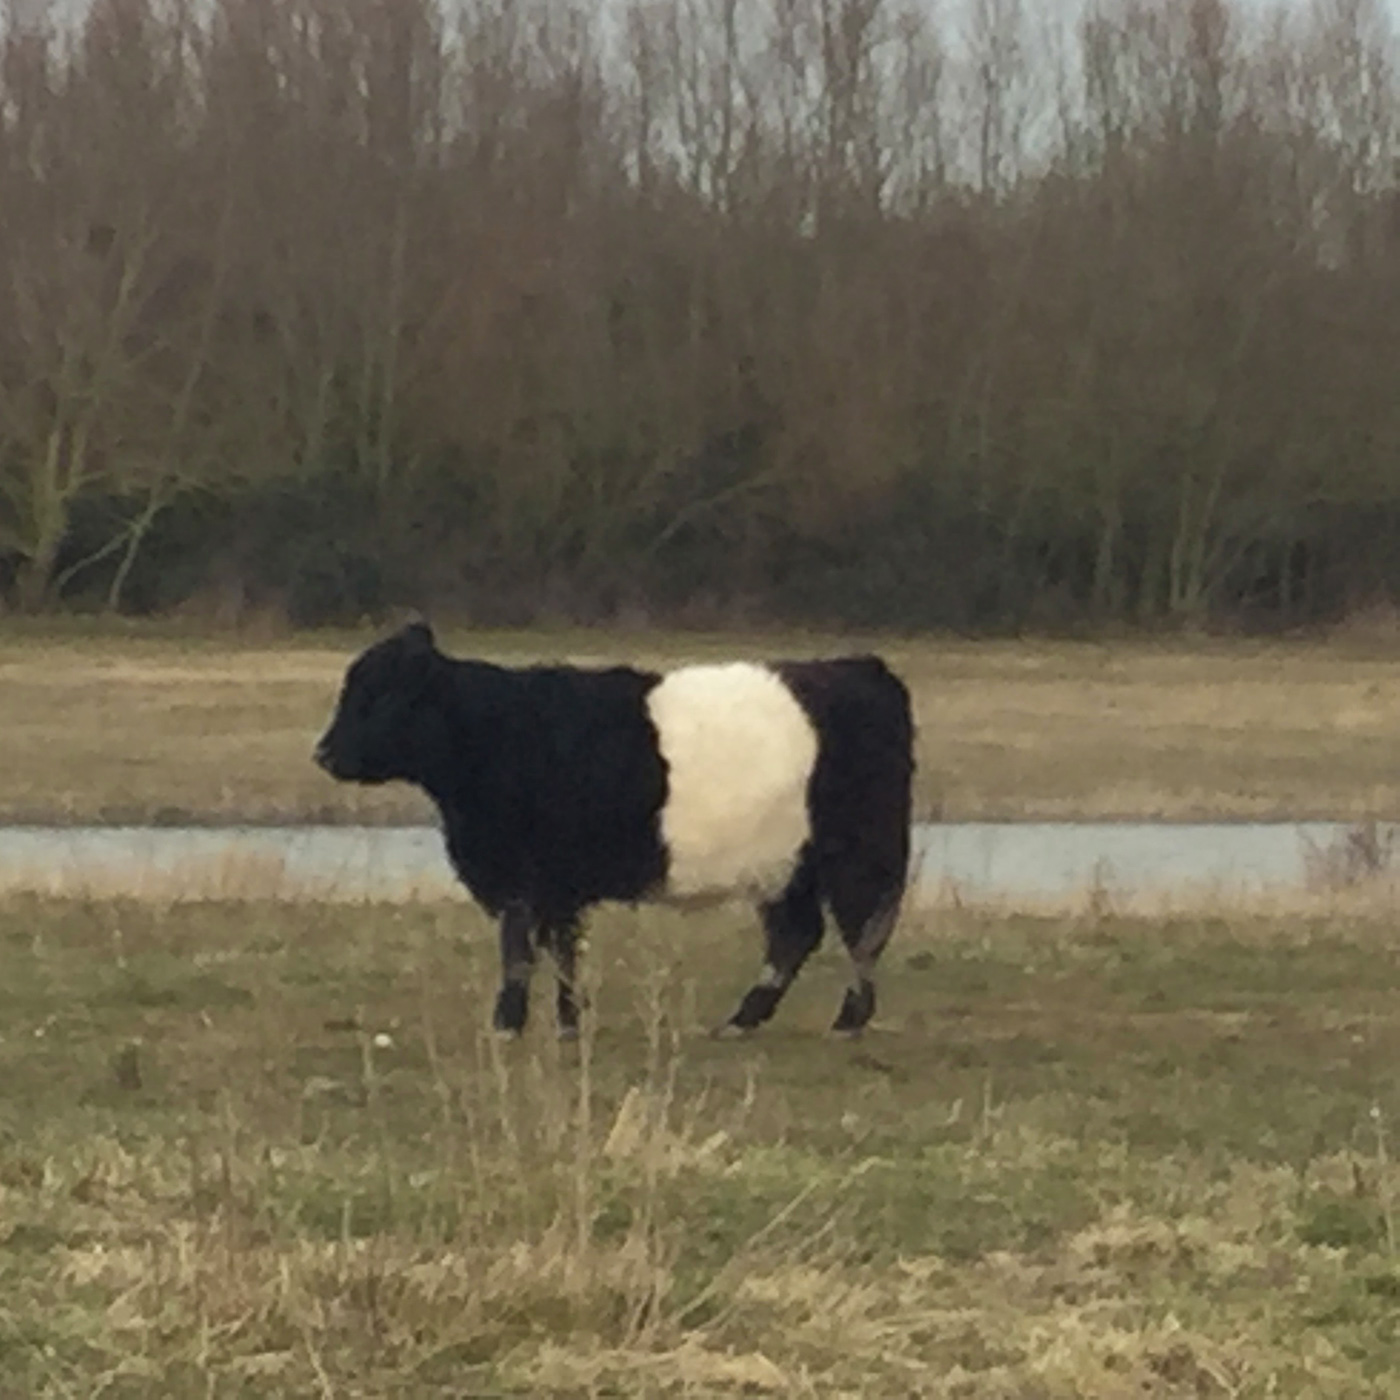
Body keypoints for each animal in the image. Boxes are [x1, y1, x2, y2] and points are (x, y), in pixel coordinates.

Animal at [313, 622, 914, 1039]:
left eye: (378, 695)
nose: (323, 754)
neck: (499, 732)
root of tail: (863, 668)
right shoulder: (551, 887)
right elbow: (560, 952)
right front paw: (565, 1022)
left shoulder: (527, 879)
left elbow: (521, 951)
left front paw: (508, 1024)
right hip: (785, 867)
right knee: (797, 935)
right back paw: (741, 1020)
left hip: (857, 855)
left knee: (860, 934)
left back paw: (848, 1020)